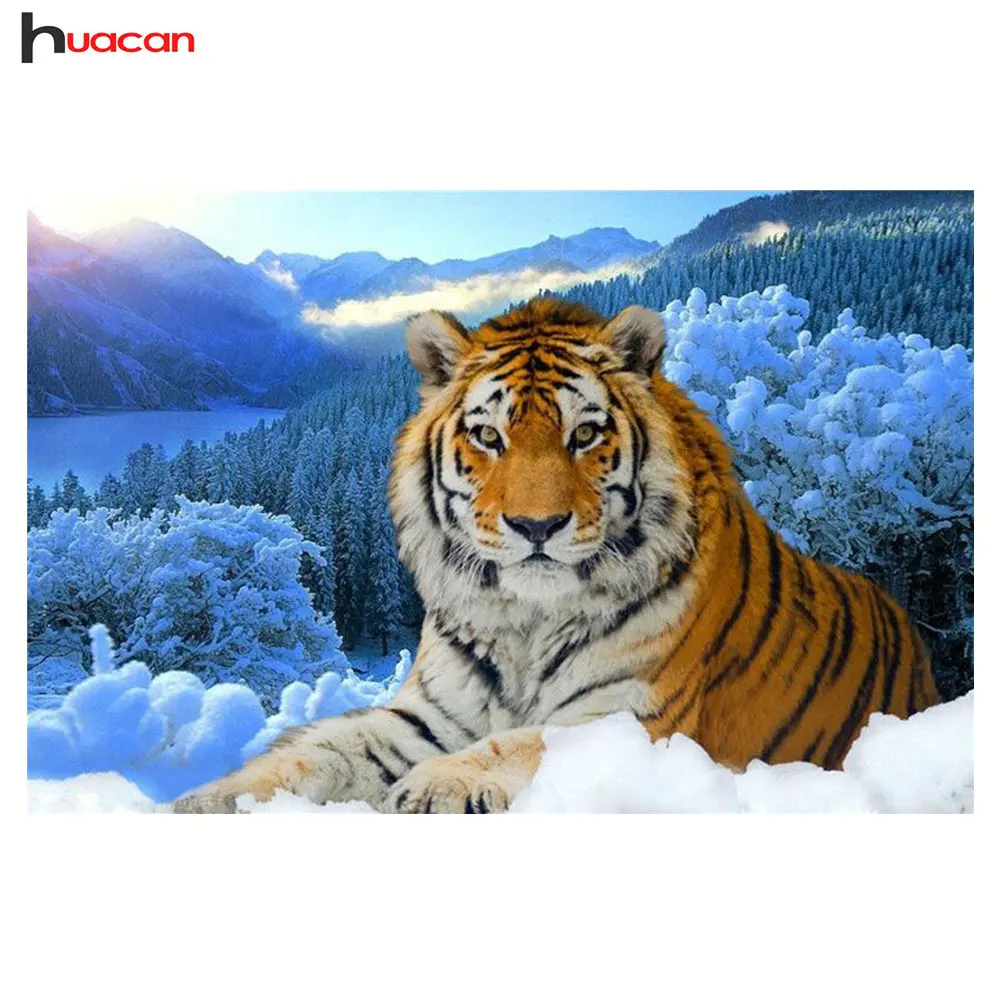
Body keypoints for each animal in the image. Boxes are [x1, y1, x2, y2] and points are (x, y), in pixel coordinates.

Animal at [174, 296, 940, 813]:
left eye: (585, 435)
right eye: (488, 436)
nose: (535, 525)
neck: (526, 621)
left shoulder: (634, 718)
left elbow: (524, 741)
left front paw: (435, 786)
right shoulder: (429, 716)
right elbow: (317, 750)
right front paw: (204, 800)